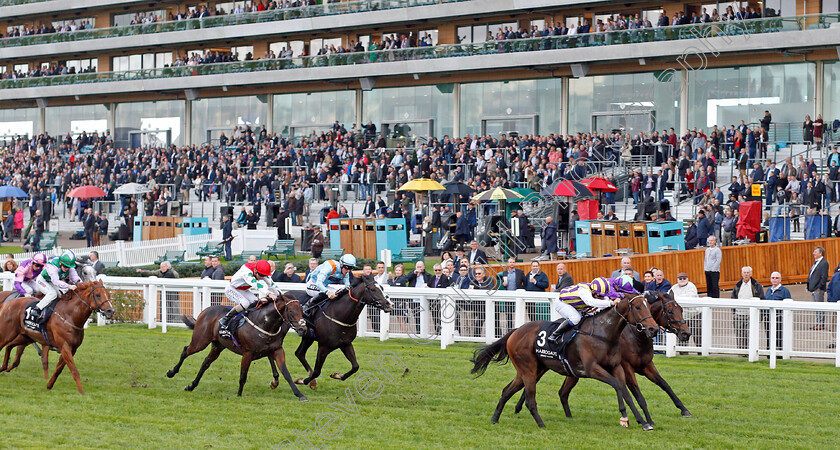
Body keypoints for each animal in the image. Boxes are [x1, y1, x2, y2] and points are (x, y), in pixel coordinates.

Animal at [165, 296, 308, 400]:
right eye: (291, 311)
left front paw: (300, 395)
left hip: (218, 346)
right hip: (200, 341)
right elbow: (243, 375)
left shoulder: (277, 350)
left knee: (205, 363)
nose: (303, 329)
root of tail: (205, 311)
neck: (265, 324)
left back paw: (191, 386)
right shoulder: (248, 354)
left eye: (302, 311)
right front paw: (239, 394)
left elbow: (286, 373)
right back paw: (171, 372)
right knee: (186, 351)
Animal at [470, 294, 660, 430]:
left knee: (506, 391)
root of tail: (515, 331)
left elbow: (626, 391)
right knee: (530, 399)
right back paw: (541, 425)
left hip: (529, 370)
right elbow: (617, 385)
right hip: (528, 369)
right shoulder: (593, 369)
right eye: (637, 307)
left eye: (648, 306)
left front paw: (643, 422)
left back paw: (495, 418)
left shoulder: (616, 367)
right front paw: (624, 416)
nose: (653, 328)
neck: (603, 332)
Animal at [516, 292, 692, 426]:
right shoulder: (627, 368)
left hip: (569, 370)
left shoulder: (646, 365)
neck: (634, 336)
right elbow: (636, 394)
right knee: (530, 383)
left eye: (681, 309)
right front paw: (644, 420)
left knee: (560, 392)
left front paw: (684, 410)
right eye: (670, 311)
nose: (686, 333)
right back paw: (519, 407)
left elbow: (665, 384)